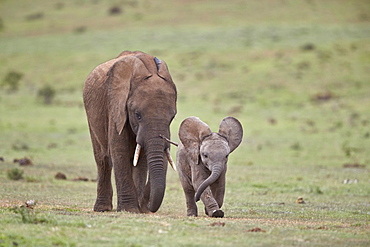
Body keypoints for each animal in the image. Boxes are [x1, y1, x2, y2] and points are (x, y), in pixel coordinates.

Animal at [83, 50, 177, 212]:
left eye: (172, 117)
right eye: (137, 115)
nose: (147, 207)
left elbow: (140, 157)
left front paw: (138, 210)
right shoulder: (115, 106)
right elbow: (119, 149)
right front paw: (129, 210)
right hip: (91, 114)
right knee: (102, 159)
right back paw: (102, 209)